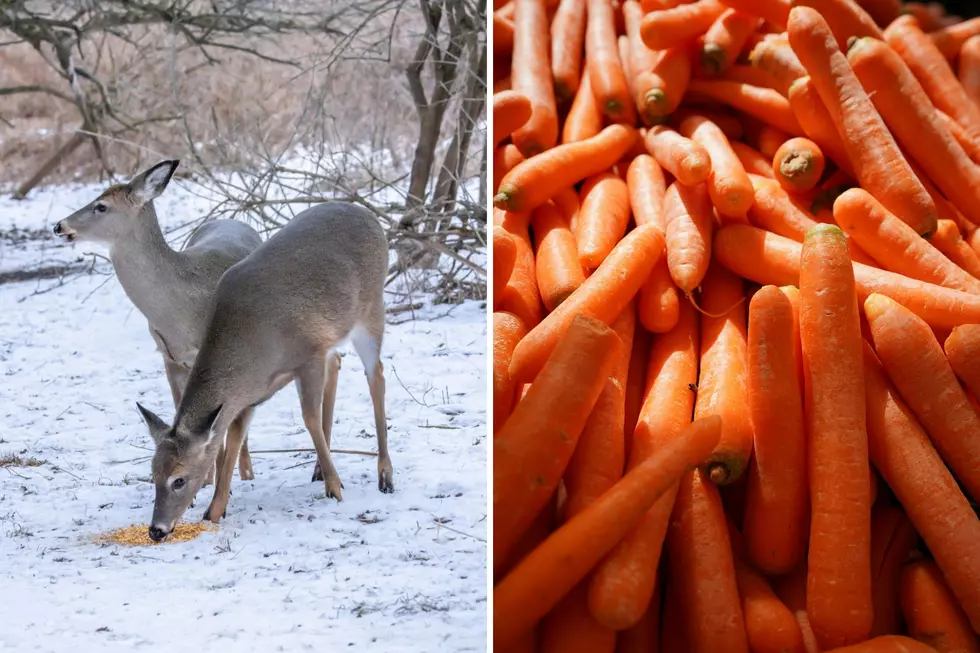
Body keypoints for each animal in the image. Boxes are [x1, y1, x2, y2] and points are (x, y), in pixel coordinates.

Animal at [53, 160, 262, 483]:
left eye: (101, 206)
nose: (59, 226)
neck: (178, 311)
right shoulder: (169, 357)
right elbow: (182, 415)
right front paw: (203, 480)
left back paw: (247, 471)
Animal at [134, 201, 392, 541]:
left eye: (179, 479)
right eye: (152, 473)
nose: (156, 530)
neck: (255, 346)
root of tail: (368, 215)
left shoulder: (308, 356)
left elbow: (309, 418)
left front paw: (335, 488)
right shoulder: (246, 395)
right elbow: (232, 439)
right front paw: (214, 510)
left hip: (371, 309)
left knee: (376, 376)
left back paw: (384, 475)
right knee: (341, 364)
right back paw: (320, 470)